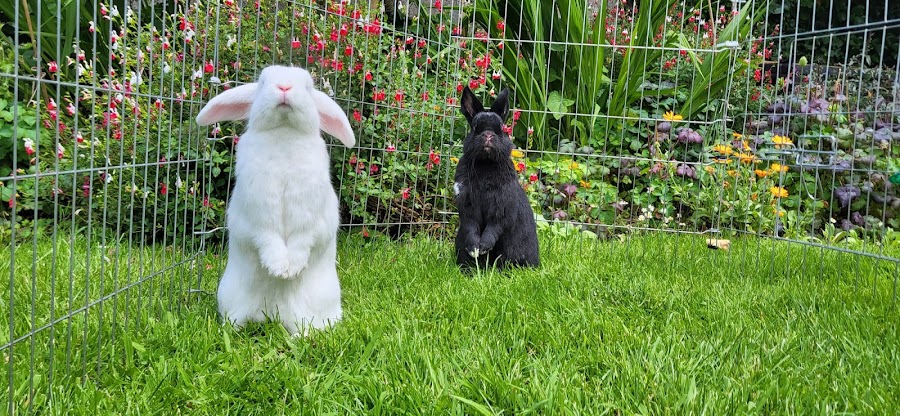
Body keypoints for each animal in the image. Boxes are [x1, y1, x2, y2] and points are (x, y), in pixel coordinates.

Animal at [195, 65, 355, 337]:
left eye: (308, 86)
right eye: (262, 82)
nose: (284, 86)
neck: (284, 132)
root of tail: (272, 314)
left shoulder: (310, 218)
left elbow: (303, 239)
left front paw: (292, 269)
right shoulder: (257, 216)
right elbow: (267, 237)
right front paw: (279, 268)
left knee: (306, 326)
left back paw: (301, 337)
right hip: (230, 296)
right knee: (236, 319)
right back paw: (230, 331)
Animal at [453, 86, 540, 271]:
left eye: (501, 128)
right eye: (475, 127)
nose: (487, 135)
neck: (486, 163)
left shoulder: (501, 207)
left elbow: (494, 227)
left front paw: (483, 247)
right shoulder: (467, 207)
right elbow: (471, 227)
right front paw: (474, 249)